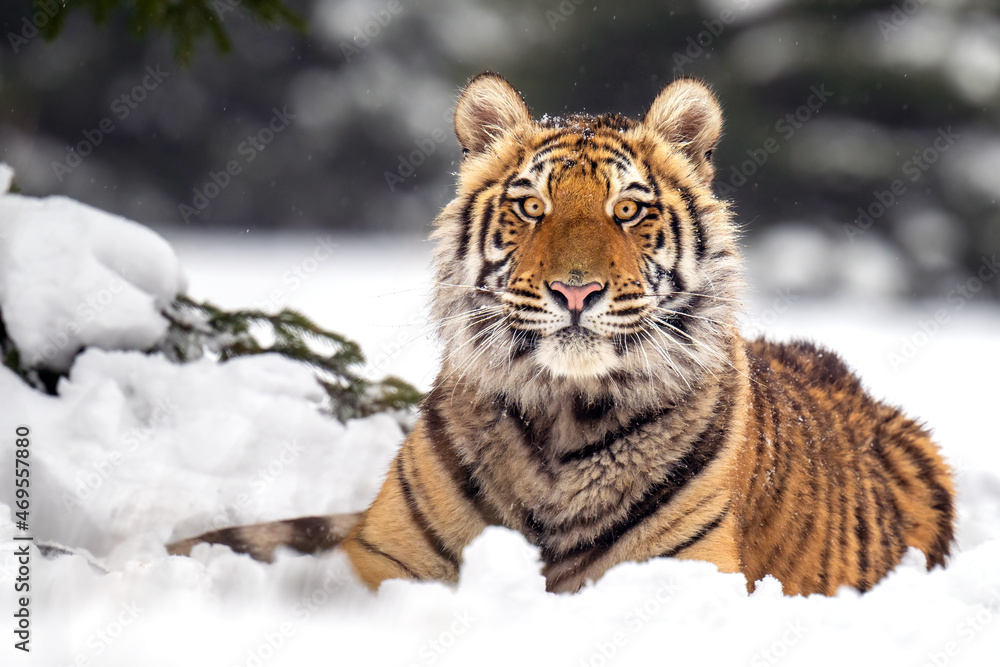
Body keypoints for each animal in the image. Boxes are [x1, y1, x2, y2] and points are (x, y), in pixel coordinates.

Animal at [168, 72, 955, 597]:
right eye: (531, 206)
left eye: (629, 209)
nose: (576, 291)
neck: (564, 418)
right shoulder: (388, 555)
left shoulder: (688, 568)